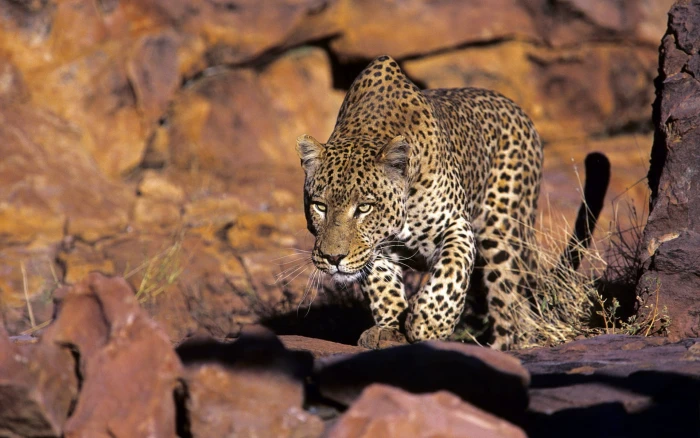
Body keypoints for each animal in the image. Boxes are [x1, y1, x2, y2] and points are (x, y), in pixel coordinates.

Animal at [295, 55, 608, 350]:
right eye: (320, 206)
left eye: (364, 208)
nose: (333, 258)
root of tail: (519, 112)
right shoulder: (376, 247)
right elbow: (382, 284)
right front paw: (388, 328)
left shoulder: (456, 225)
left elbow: (451, 270)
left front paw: (428, 324)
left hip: (502, 231)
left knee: (509, 301)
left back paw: (501, 345)